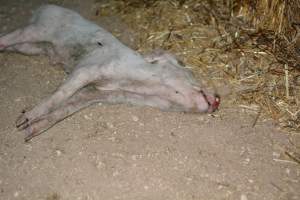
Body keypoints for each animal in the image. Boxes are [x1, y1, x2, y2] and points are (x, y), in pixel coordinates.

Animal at [0, 4, 220, 141]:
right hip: (37, 29)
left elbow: (69, 107)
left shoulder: (97, 94)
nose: (218, 99)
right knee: (7, 37)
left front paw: (29, 132)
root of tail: (44, 8)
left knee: (11, 45)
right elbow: (61, 93)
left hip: (31, 47)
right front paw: (21, 121)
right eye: (184, 66)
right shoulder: (88, 69)